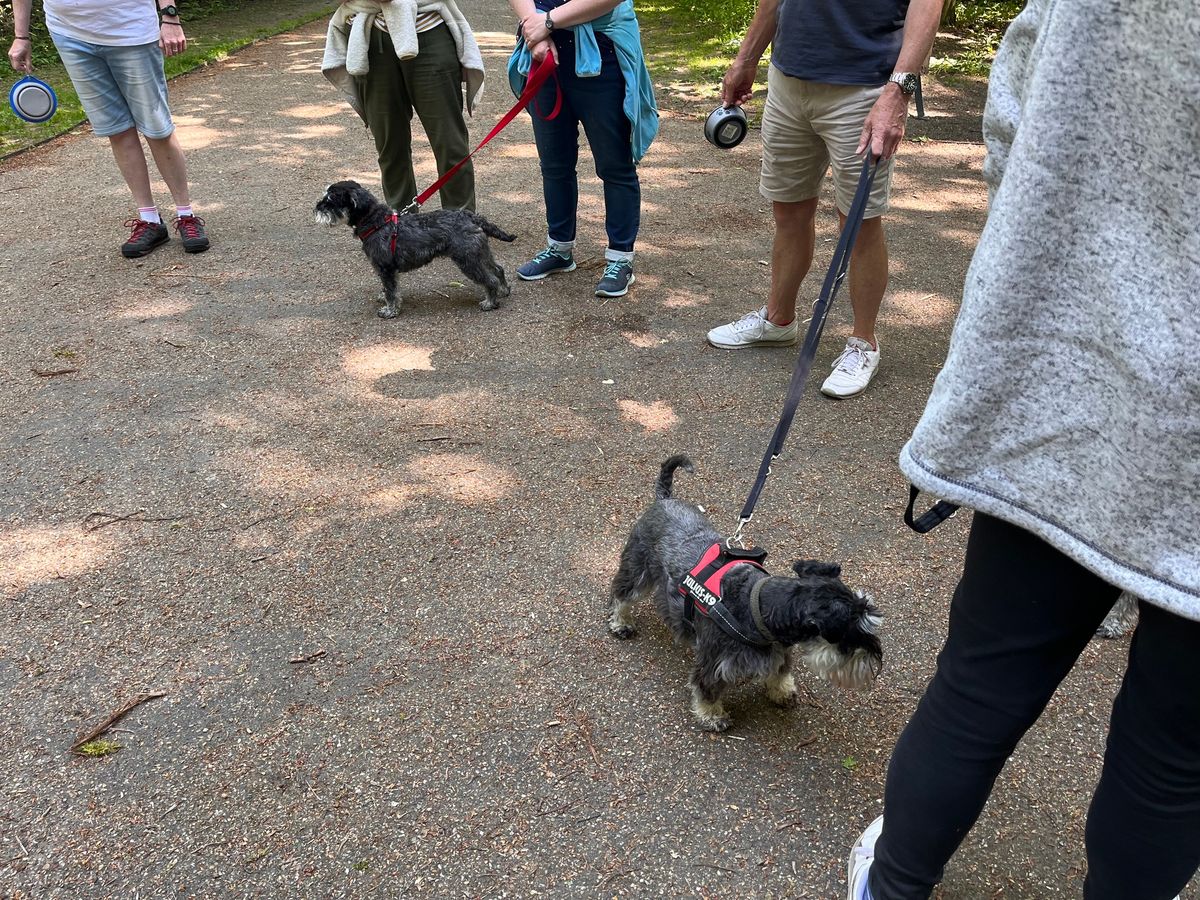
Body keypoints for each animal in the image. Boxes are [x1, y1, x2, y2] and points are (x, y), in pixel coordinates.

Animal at [314, 181, 516, 321]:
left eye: (330, 200)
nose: (316, 207)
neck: (377, 222)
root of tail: (470, 216)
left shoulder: (385, 269)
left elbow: (391, 291)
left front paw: (390, 310)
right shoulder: (385, 271)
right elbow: (389, 289)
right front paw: (384, 298)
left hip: (469, 261)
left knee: (490, 279)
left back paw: (490, 302)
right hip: (480, 254)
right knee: (498, 269)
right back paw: (504, 290)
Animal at [609, 458, 883, 734]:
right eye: (854, 634)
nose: (876, 661)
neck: (758, 606)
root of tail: (664, 499)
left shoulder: (778, 651)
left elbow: (780, 673)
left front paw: (782, 692)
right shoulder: (714, 663)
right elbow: (706, 689)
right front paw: (712, 716)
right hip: (638, 570)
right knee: (621, 594)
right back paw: (620, 623)